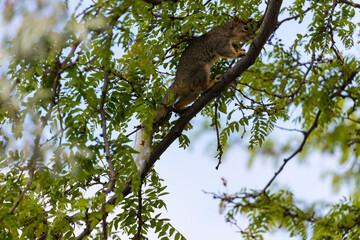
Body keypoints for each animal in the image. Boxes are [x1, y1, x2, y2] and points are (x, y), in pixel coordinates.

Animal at [132, 17, 256, 171]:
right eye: (245, 28)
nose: (253, 35)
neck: (226, 30)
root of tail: (178, 82)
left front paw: (237, 46)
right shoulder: (219, 42)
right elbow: (225, 51)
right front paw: (238, 53)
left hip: (192, 93)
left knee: (179, 103)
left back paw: (183, 108)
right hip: (201, 70)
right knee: (202, 87)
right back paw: (211, 82)